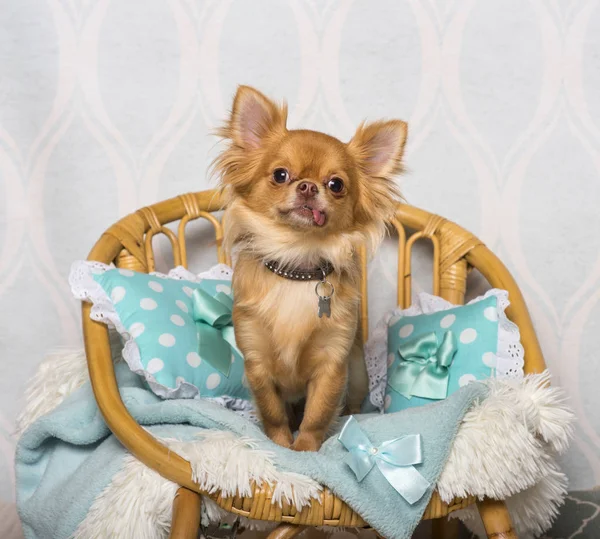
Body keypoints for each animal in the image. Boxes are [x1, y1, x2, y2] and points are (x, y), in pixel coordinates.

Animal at [216, 87, 408, 452]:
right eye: (280, 175)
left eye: (336, 184)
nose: (307, 186)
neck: (297, 264)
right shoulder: (256, 361)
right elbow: (272, 411)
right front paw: (280, 444)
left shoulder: (333, 362)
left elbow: (317, 413)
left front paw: (305, 449)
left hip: (357, 371)